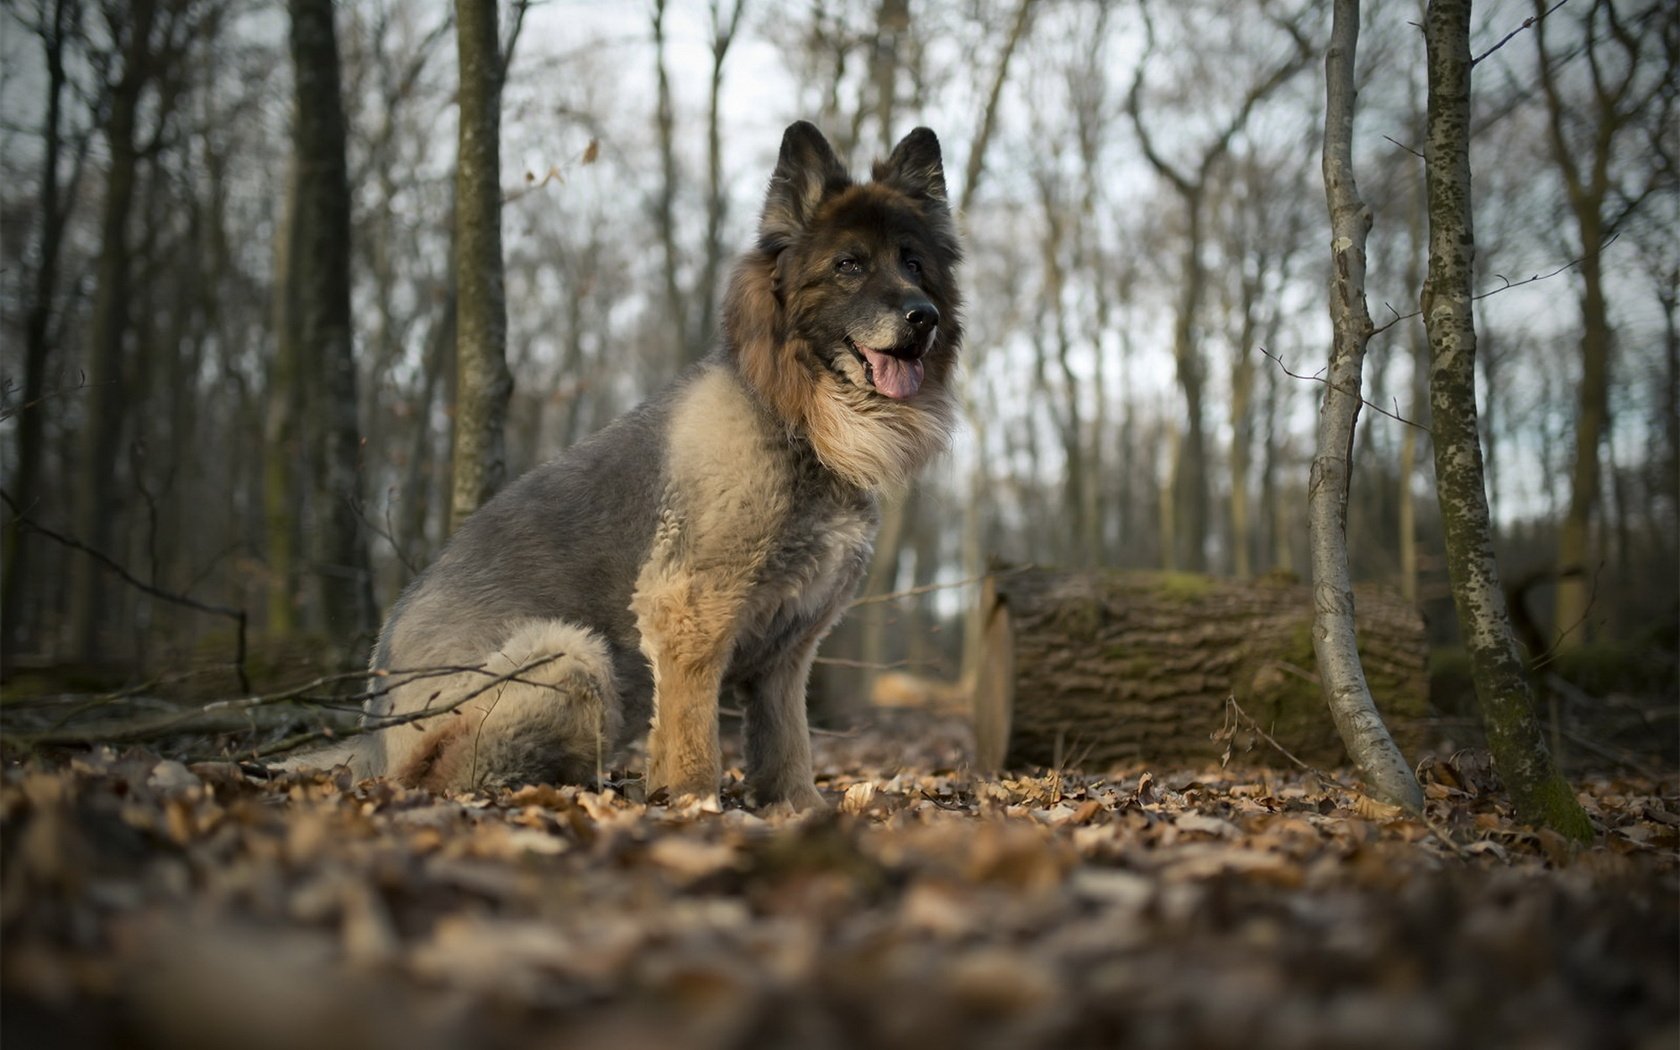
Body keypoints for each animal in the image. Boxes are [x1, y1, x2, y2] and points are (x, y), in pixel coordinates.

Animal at [332, 125, 960, 809]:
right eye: (849, 265)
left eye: (914, 263)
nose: (922, 316)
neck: (792, 414)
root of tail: (372, 739)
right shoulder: (690, 613)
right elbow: (691, 732)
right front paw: (693, 802)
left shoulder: (788, 651)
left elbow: (788, 742)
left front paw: (798, 808)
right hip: (569, 654)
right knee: (460, 774)